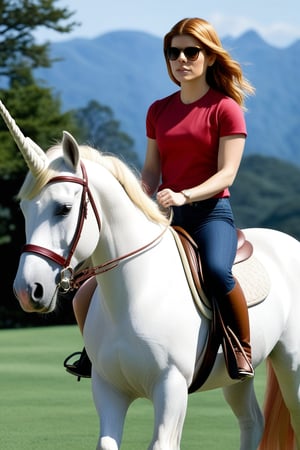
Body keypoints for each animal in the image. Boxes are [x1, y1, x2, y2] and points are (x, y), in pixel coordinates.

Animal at [2, 99, 300, 450]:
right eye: (24, 210)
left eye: (63, 208)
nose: (28, 289)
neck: (137, 293)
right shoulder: (108, 388)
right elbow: (107, 443)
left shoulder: (171, 387)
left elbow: (161, 443)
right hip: (237, 376)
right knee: (252, 422)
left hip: (291, 366)